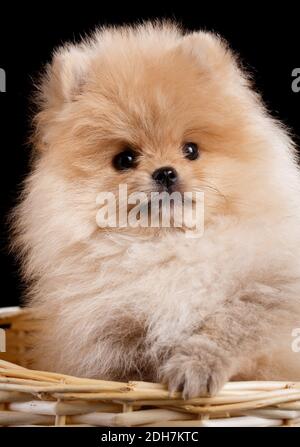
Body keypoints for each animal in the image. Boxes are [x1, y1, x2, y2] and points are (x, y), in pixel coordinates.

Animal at [11, 21, 300, 400]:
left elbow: (231, 326)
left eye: (190, 150)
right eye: (125, 159)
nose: (165, 172)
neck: (165, 243)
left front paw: (194, 371)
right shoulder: (106, 331)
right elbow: (129, 362)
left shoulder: (271, 289)